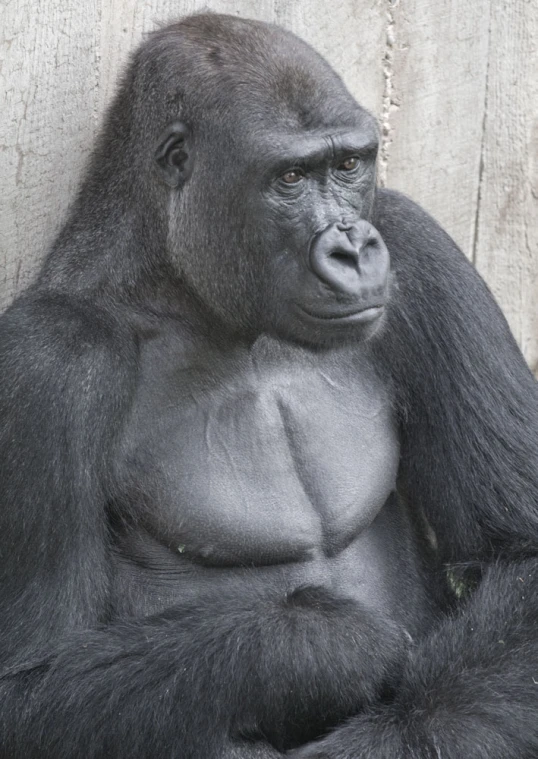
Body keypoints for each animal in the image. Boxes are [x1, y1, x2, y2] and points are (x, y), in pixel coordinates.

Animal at [1, 11, 536, 759]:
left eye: (348, 165)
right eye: (290, 177)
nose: (354, 248)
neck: (181, 293)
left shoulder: (415, 242)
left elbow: (521, 553)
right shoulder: (49, 359)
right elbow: (29, 679)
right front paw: (321, 647)